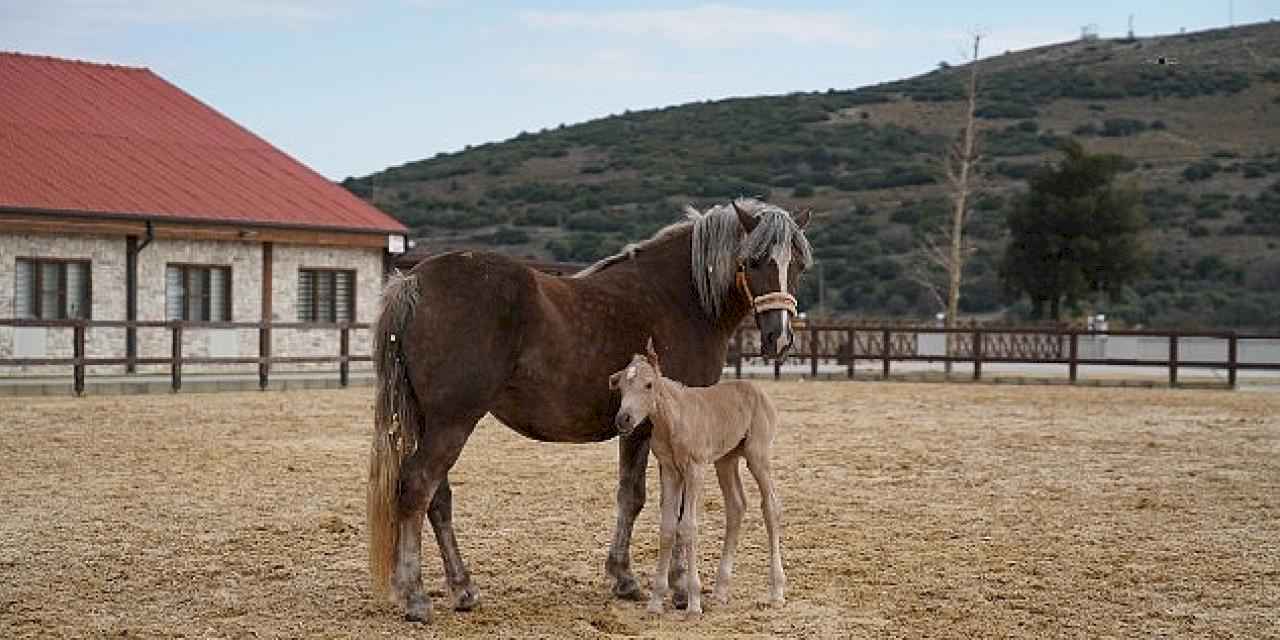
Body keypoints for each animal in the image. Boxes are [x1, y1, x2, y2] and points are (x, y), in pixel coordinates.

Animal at [606, 340, 778, 614]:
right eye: (621, 386)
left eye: (648, 384)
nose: (624, 419)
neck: (674, 418)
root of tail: (758, 390)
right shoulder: (670, 470)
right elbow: (667, 527)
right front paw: (656, 602)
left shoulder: (695, 469)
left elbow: (688, 526)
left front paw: (693, 603)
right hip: (726, 460)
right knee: (736, 506)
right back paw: (720, 591)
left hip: (758, 455)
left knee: (770, 506)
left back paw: (776, 591)